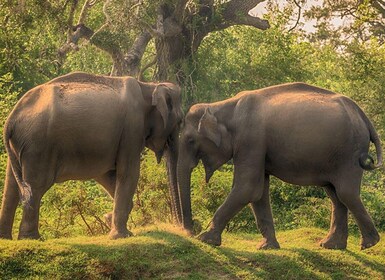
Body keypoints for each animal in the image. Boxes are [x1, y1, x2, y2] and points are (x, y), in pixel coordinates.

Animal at [0, 72, 183, 241]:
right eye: (180, 121)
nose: (182, 229)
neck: (149, 86)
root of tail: (11, 119)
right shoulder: (132, 127)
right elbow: (128, 173)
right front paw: (122, 236)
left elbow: (106, 175)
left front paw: (109, 220)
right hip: (38, 146)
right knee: (35, 186)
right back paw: (32, 239)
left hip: (20, 148)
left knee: (12, 186)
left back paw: (6, 238)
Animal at [177, 82, 380, 250]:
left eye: (190, 140)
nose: (191, 231)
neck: (222, 106)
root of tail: (362, 115)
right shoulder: (257, 147)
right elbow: (258, 192)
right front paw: (267, 247)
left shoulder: (250, 139)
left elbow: (247, 188)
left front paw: (205, 239)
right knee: (335, 195)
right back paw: (331, 246)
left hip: (350, 153)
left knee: (345, 193)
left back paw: (369, 244)